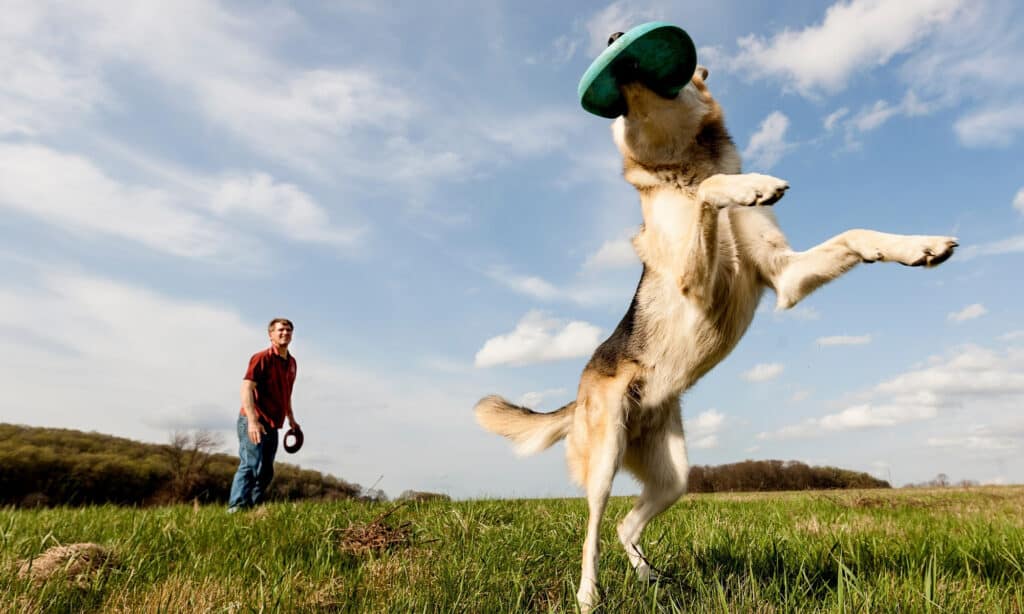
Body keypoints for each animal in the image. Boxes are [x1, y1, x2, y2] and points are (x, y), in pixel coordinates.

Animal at [475, 49, 954, 614]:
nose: (616, 40)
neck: (681, 169)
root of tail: (582, 386)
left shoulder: (786, 276)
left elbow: (853, 234)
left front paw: (917, 246)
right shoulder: (696, 279)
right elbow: (711, 191)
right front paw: (749, 186)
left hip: (674, 477)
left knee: (623, 526)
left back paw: (651, 578)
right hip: (607, 452)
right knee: (592, 529)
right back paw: (589, 595)